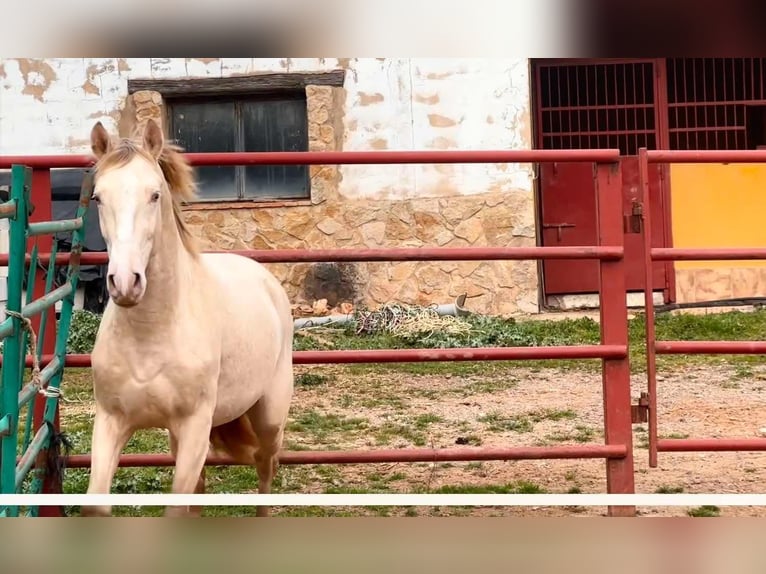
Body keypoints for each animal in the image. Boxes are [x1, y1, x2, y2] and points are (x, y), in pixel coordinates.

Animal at [81, 119, 296, 520]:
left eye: (154, 195)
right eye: (98, 198)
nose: (125, 283)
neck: (151, 335)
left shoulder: (195, 424)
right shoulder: (112, 421)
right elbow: (98, 506)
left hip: (268, 418)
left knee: (265, 467)